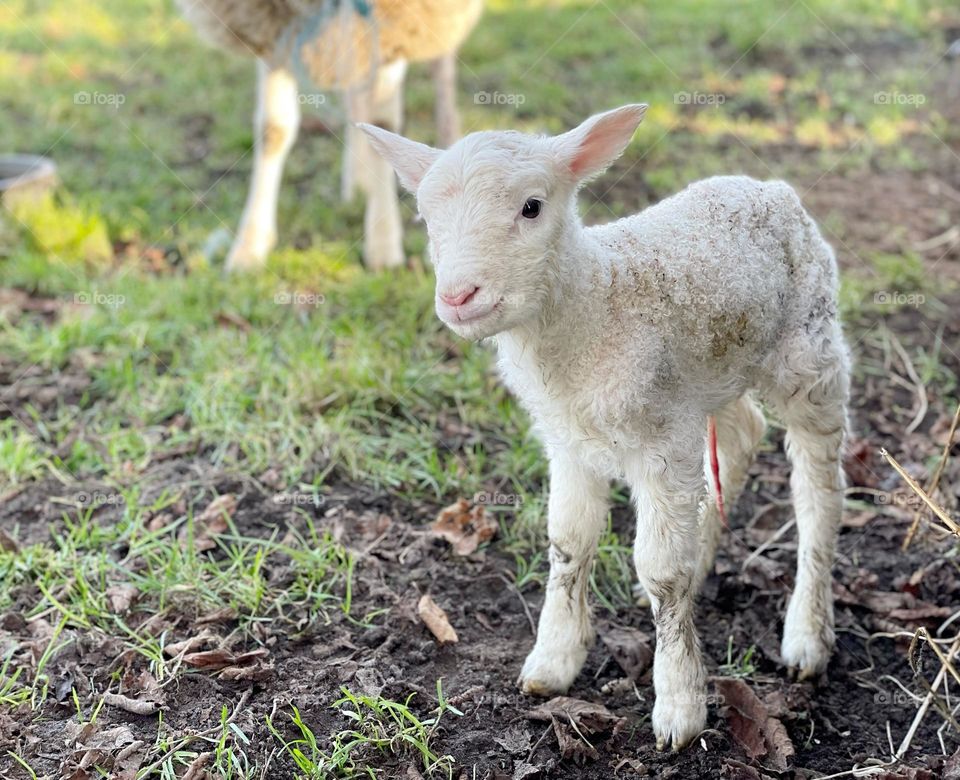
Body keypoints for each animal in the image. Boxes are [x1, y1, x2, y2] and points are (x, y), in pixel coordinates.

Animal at [176, 0, 483, 271]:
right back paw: (357, 184)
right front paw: (249, 249)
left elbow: (383, 122)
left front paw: (383, 248)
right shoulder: (272, 28)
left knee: (442, 65)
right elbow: (273, 130)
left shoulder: (396, 24)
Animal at [359, 104, 851, 751]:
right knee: (741, 432)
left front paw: (680, 707)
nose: (459, 296)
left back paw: (806, 635)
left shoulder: (661, 438)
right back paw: (705, 558)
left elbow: (660, 570)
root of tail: (769, 187)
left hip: (808, 348)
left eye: (532, 207)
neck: (595, 302)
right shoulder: (568, 440)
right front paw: (553, 662)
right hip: (714, 373)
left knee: (818, 485)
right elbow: (568, 542)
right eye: (425, 217)